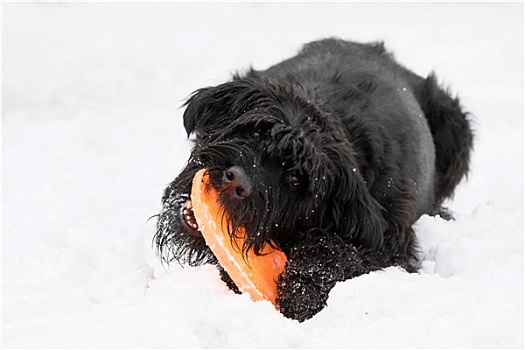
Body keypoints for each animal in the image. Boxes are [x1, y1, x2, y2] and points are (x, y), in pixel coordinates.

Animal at [154, 39, 472, 322]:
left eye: (295, 178)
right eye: (256, 132)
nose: (236, 181)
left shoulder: (391, 242)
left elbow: (337, 250)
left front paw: (303, 287)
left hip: (455, 123)